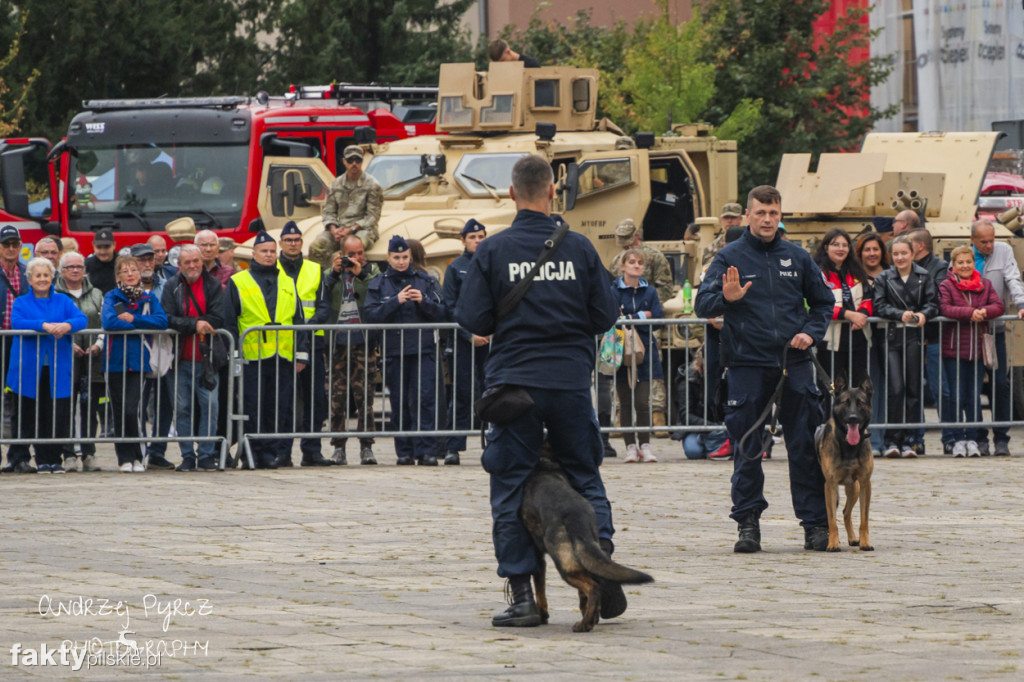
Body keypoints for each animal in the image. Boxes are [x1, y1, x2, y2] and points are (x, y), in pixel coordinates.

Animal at [520, 444, 655, 630]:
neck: (544, 462)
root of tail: (576, 515)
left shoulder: (539, 558)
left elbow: (540, 590)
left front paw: (542, 615)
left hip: (566, 565)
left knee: (592, 588)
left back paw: (584, 624)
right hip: (586, 554)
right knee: (591, 587)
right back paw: (591, 618)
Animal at [815, 374, 872, 548]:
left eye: (860, 403)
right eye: (845, 403)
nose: (852, 418)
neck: (848, 445)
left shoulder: (865, 483)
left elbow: (864, 519)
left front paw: (865, 543)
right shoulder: (830, 484)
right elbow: (832, 519)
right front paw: (833, 544)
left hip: (854, 489)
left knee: (846, 512)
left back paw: (853, 538)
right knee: (839, 512)